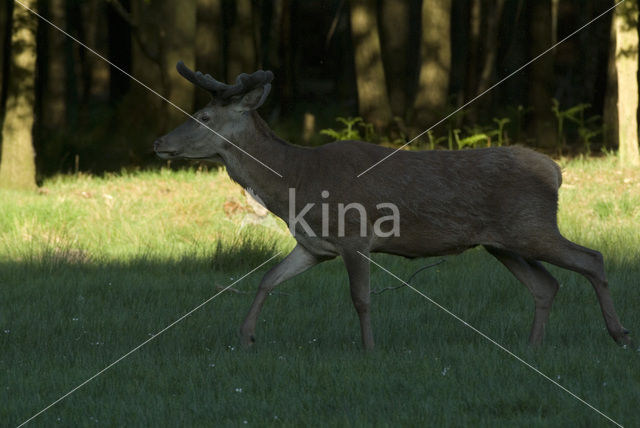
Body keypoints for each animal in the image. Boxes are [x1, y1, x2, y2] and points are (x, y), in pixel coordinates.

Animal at [154, 62, 632, 352]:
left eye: (204, 118)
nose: (159, 143)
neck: (296, 182)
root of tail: (555, 170)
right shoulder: (314, 245)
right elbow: (268, 279)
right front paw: (246, 337)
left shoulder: (354, 234)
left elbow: (361, 298)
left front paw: (369, 349)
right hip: (503, 242)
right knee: (546, 284)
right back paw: (533, 347)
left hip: (530, 225)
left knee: (592, 258)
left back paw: (619, 332)